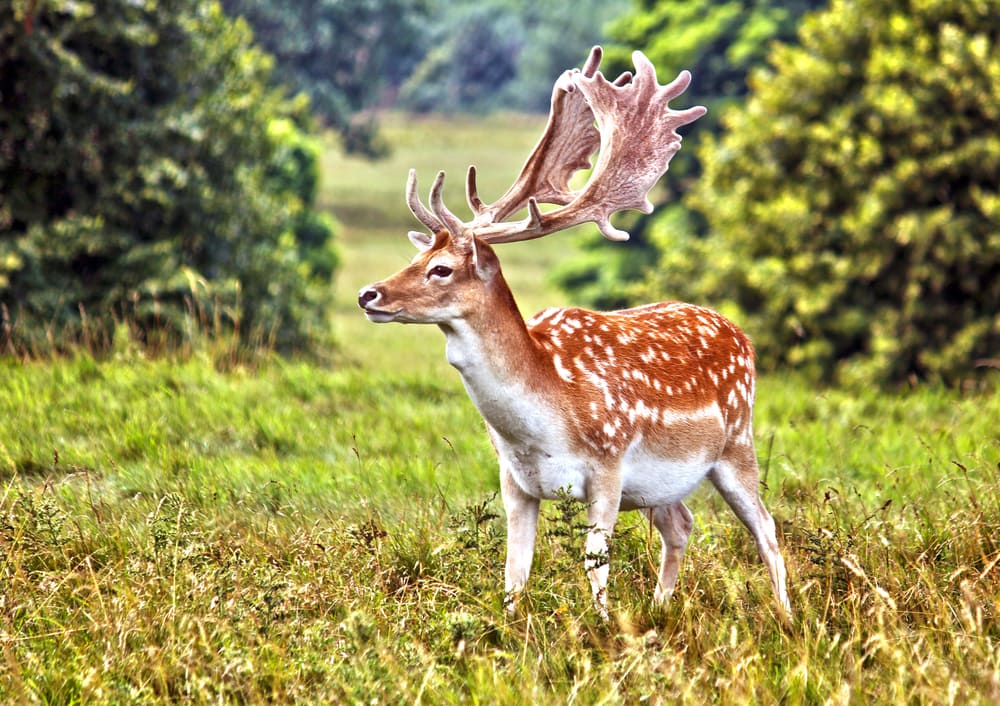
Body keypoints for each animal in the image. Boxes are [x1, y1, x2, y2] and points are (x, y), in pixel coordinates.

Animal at [358, 46, 791, 619]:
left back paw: (787, 617)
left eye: (442, 269)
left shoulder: (608, 465)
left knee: (766, 527)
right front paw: (511, 628)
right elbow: (514, 575)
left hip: (737, 441)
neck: (543, 418)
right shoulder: (515, 482)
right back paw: (661, 609)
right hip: (662, 485)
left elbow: (595, 567)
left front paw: (606, 628)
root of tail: (741, 334)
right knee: (682, 524)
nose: (368, 295)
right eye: (415, 258)